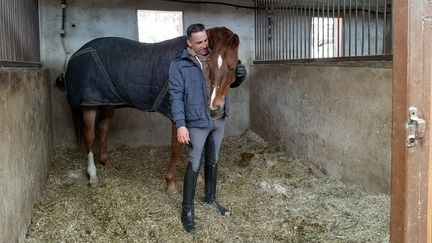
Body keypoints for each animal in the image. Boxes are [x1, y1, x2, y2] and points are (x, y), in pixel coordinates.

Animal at [64, 27, 241, 194]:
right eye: (210, 66)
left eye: (232, 68)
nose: (214, 106)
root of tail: (76, 54)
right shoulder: (175, 115)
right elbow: (176, 148)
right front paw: (170, 183)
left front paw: (198, 178)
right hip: (90, 105)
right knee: (89, 136)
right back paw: (92, 175)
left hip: (109, 102)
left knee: (102, 129)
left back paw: (105, 161)